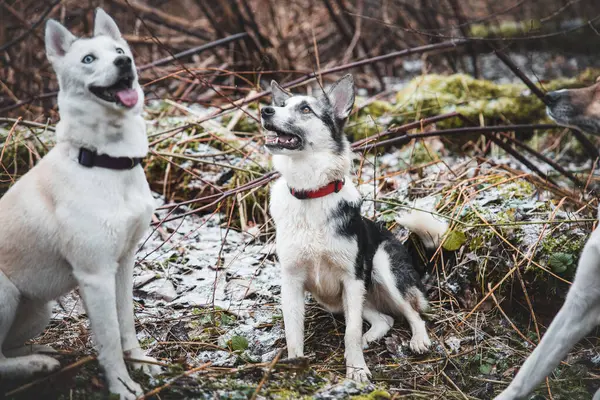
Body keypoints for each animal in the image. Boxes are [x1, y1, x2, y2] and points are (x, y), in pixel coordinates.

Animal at [0, 9, 158, 400]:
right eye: (88, 59)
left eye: (119, 50)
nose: (124, 63)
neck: (108, 161)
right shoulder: (95, 275)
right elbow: (109, 339)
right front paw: (121, 385)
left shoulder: (124, 263)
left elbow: (126, 322)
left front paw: (140, 361)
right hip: (4, 291)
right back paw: (36, 365)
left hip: (38, 310)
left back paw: (40, 352)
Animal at [260, 73, 448, 382]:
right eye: (282, 105)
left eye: (306, 109)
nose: (265, 110)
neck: (311, 193)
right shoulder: (292, 282)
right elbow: (293, 333)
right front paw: (295, 367)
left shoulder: (352, 278)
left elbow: (350, 332)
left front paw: (357, 370)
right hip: (343, 299)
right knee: (383, 318)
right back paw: (369, 338)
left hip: (382, 269)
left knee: (412, 313)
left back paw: (418, 339)